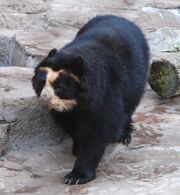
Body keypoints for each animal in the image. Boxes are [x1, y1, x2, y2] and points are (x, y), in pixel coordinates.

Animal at [32, 14, 149, 184]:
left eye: (59, 87)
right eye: (42, 83)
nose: (44, 102)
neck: (76, 100)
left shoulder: (104, 90)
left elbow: (99, 129)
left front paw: (76, 176)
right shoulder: (66, 109)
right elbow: (69, 122)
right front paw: (77, 147)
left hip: (137, 76)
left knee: (129, 106)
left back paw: (124, 135)